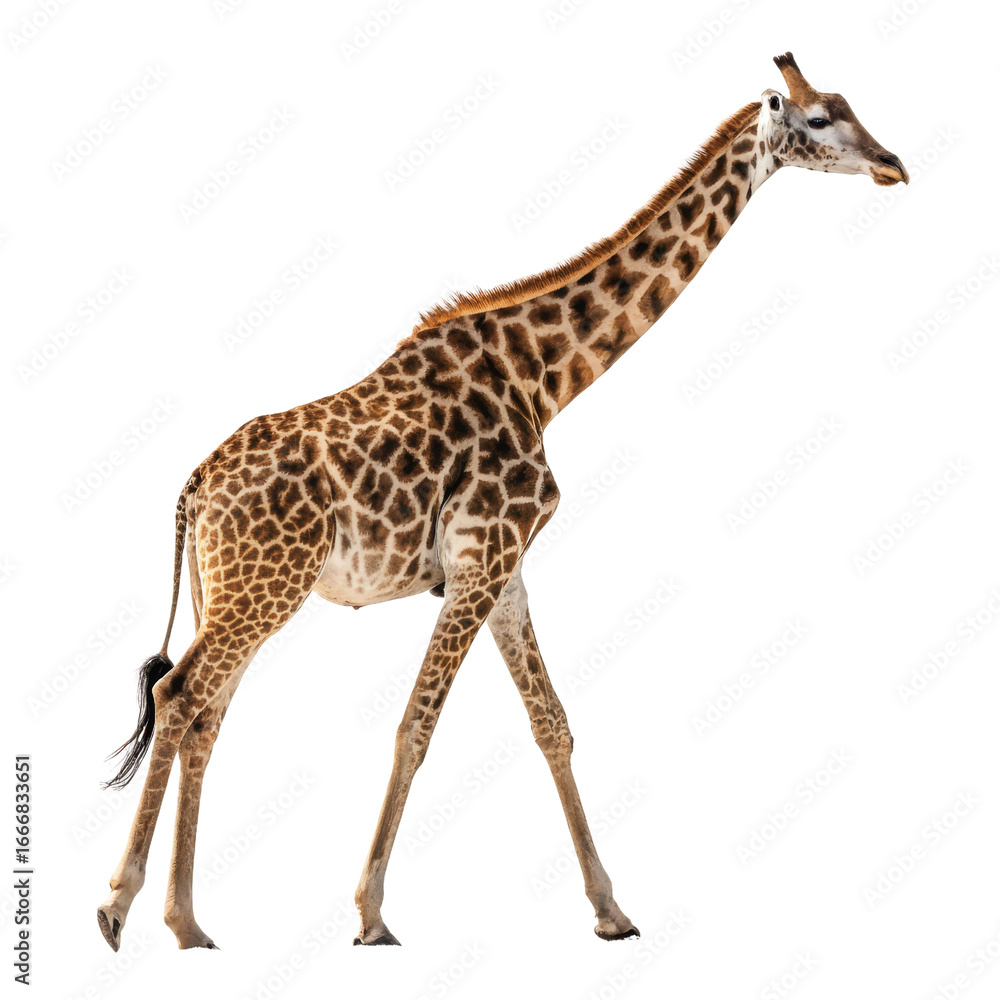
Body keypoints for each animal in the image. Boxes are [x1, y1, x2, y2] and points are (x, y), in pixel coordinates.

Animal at [97, 52, 908, 952]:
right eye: (821, 119)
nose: (893, 165)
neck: (545, 378)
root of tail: (192, 490)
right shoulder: (482, 556)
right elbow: (417, 726)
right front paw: (372, 914)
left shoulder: (504, 567)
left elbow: (551, 722)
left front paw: (611, 910)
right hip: (264, 588)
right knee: (179, 696)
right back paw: (119, 905)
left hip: (235, 590)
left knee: (205, 713)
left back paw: (187, 921)